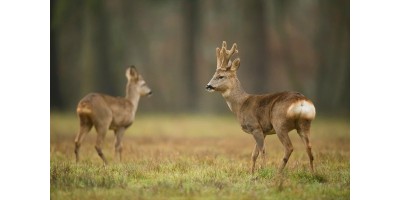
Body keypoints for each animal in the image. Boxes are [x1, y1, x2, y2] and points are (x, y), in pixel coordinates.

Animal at [206, 41, 316, 173]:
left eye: (221, 76)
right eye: (214, 75)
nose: (208, 86)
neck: (241, 104)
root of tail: (301, 101)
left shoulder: (255, 126)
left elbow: (262, 150)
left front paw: (263, 170)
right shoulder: (263, 131)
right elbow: (254, 154)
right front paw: (252, 173)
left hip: (279, 123)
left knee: (289, 147)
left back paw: (278, 172)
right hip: (304, 123)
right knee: (309, 147)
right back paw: (312, 173)